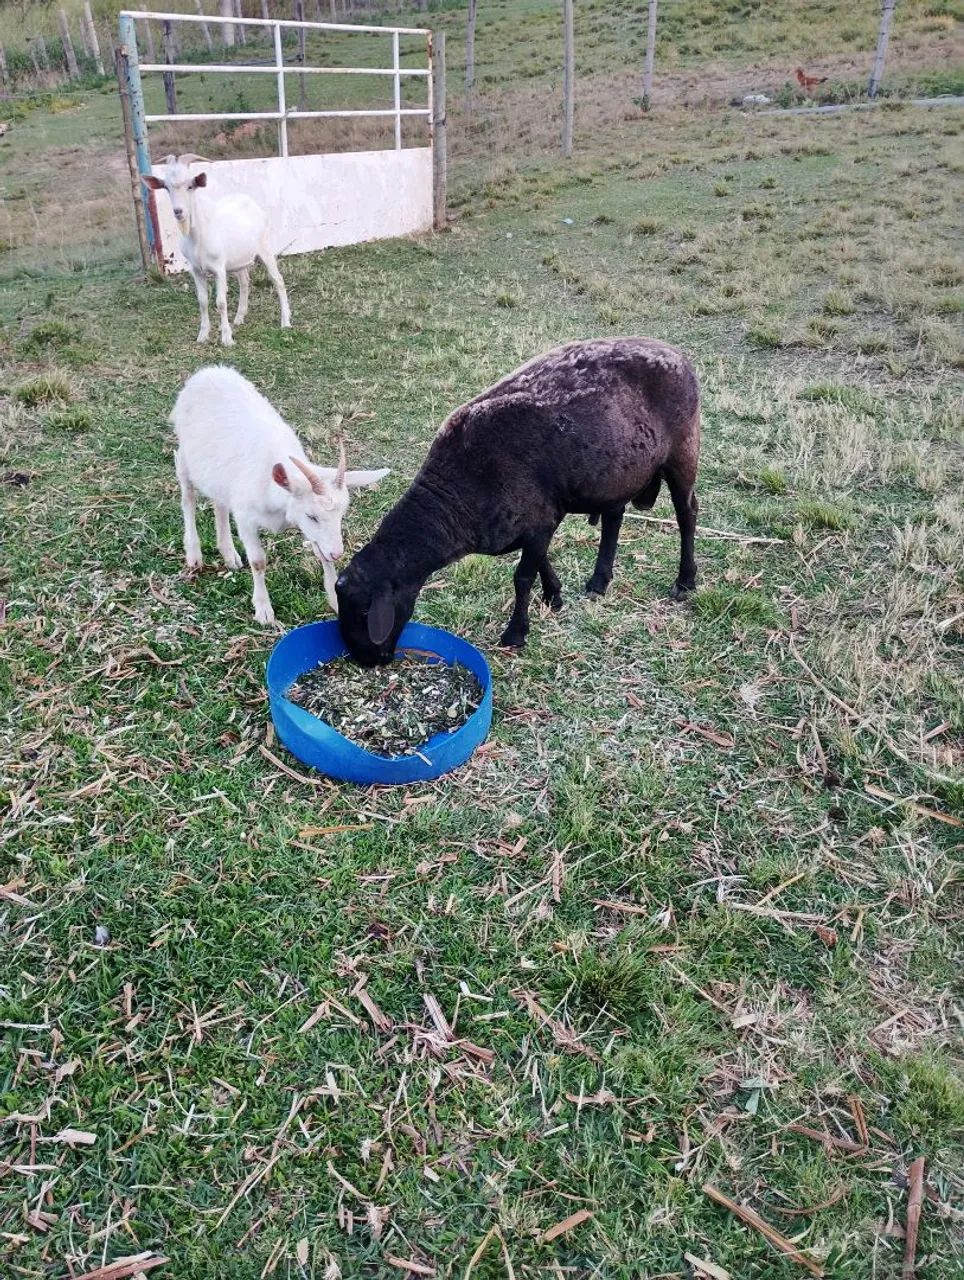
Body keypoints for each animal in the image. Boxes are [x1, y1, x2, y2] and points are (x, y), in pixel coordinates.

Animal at [143, 154, 291, 347]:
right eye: (167, 187)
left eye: (190, 185)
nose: (178, 211)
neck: (198, 237)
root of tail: (251, 202)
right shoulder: (196, 270)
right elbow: (202, 301)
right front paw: (203, 335)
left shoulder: (219, 268)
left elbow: (220, 302)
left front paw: (227, 338)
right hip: (238, 259)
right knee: (245, 281)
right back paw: (239, 317)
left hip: (265, 247)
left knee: (277, 279)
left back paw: (285, 321)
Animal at [172, 366, 389, 625]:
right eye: (312, 515)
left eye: (341, 515)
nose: (338, 553)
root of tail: (208, 371)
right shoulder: (246, 517)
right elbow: (258, 561)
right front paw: (263, 610)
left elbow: (321, 554)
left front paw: (335, 600)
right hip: (185, 457)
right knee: (188, 499)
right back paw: (194, 555)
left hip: (218, 475)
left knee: (219, 503)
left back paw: (229, 554)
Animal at [336, 337, 700, 665]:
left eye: (365, 611)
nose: (367, 661)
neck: (456, 500)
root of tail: (679, 355)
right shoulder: (537, 519)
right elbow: (540, 563)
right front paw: (554, 596)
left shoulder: (539, 520)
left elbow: (523, 577)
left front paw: (516, 633)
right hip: (618, 472)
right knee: (614, 516)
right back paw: (598, 582)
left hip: (683, 450)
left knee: (687, 513)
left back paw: (685, 581)